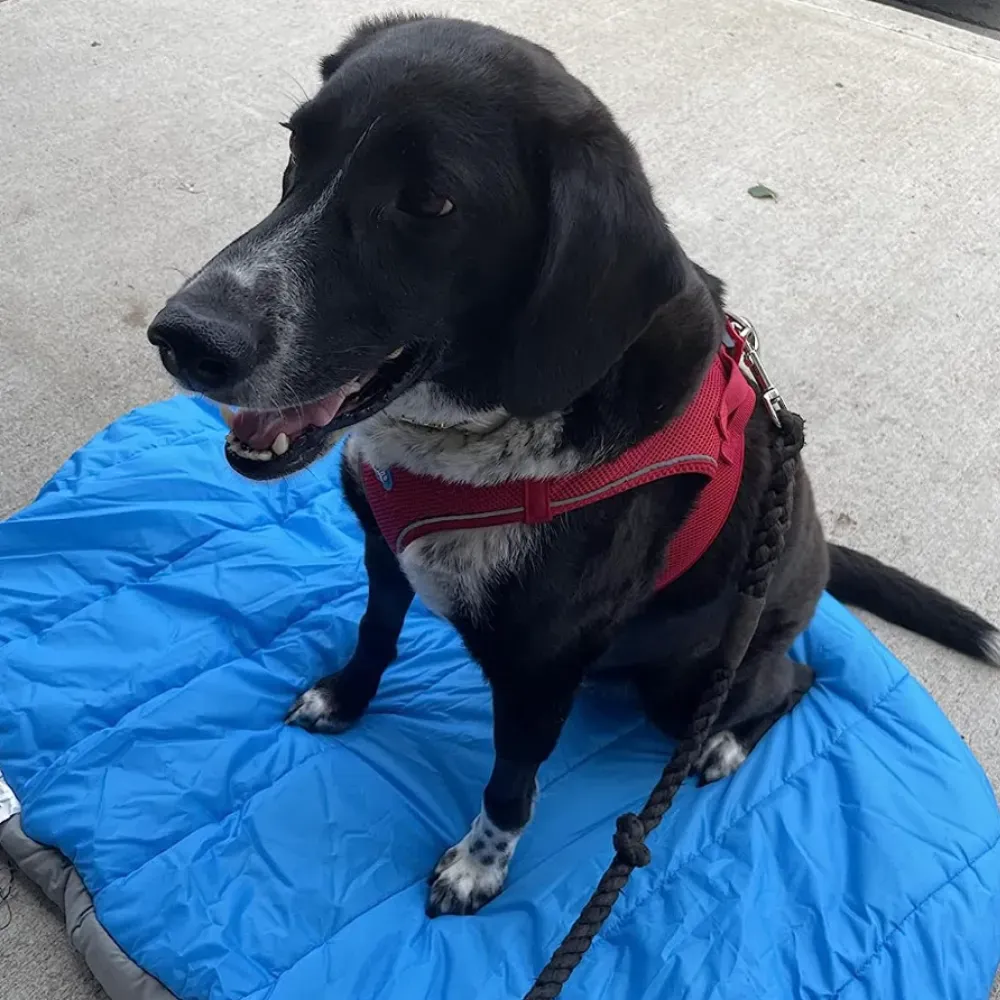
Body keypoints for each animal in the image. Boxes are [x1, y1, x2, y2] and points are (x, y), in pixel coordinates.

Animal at [148, 15, 1000, 916]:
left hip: (694, 683)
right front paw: (345, 696)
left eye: (429, 202)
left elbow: (510, 784)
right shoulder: (385, 553)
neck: (470, 437)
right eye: (297, 144)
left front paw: (479, 864)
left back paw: (725, 744)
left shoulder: (538, 670)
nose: (183, 339)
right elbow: (376, 631)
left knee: (794, 680)